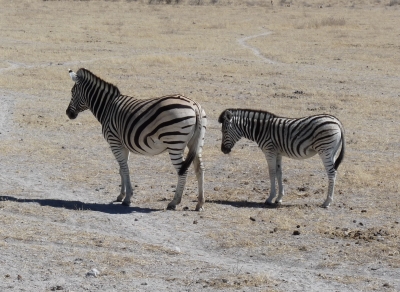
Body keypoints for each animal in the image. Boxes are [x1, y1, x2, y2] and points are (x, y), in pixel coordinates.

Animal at [65, 68, 206, 210]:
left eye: (72, 92)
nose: (68, 113)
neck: (107, 107)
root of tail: (194, 106)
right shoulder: (122, 144)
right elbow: (121, 169)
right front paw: (121, 195)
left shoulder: (114, 141)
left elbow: (124, 169)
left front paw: (127, 198)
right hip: (196, 143)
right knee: (199, 168)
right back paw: (200, 202)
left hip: (175, 143)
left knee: (183, 170)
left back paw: (174, 202)